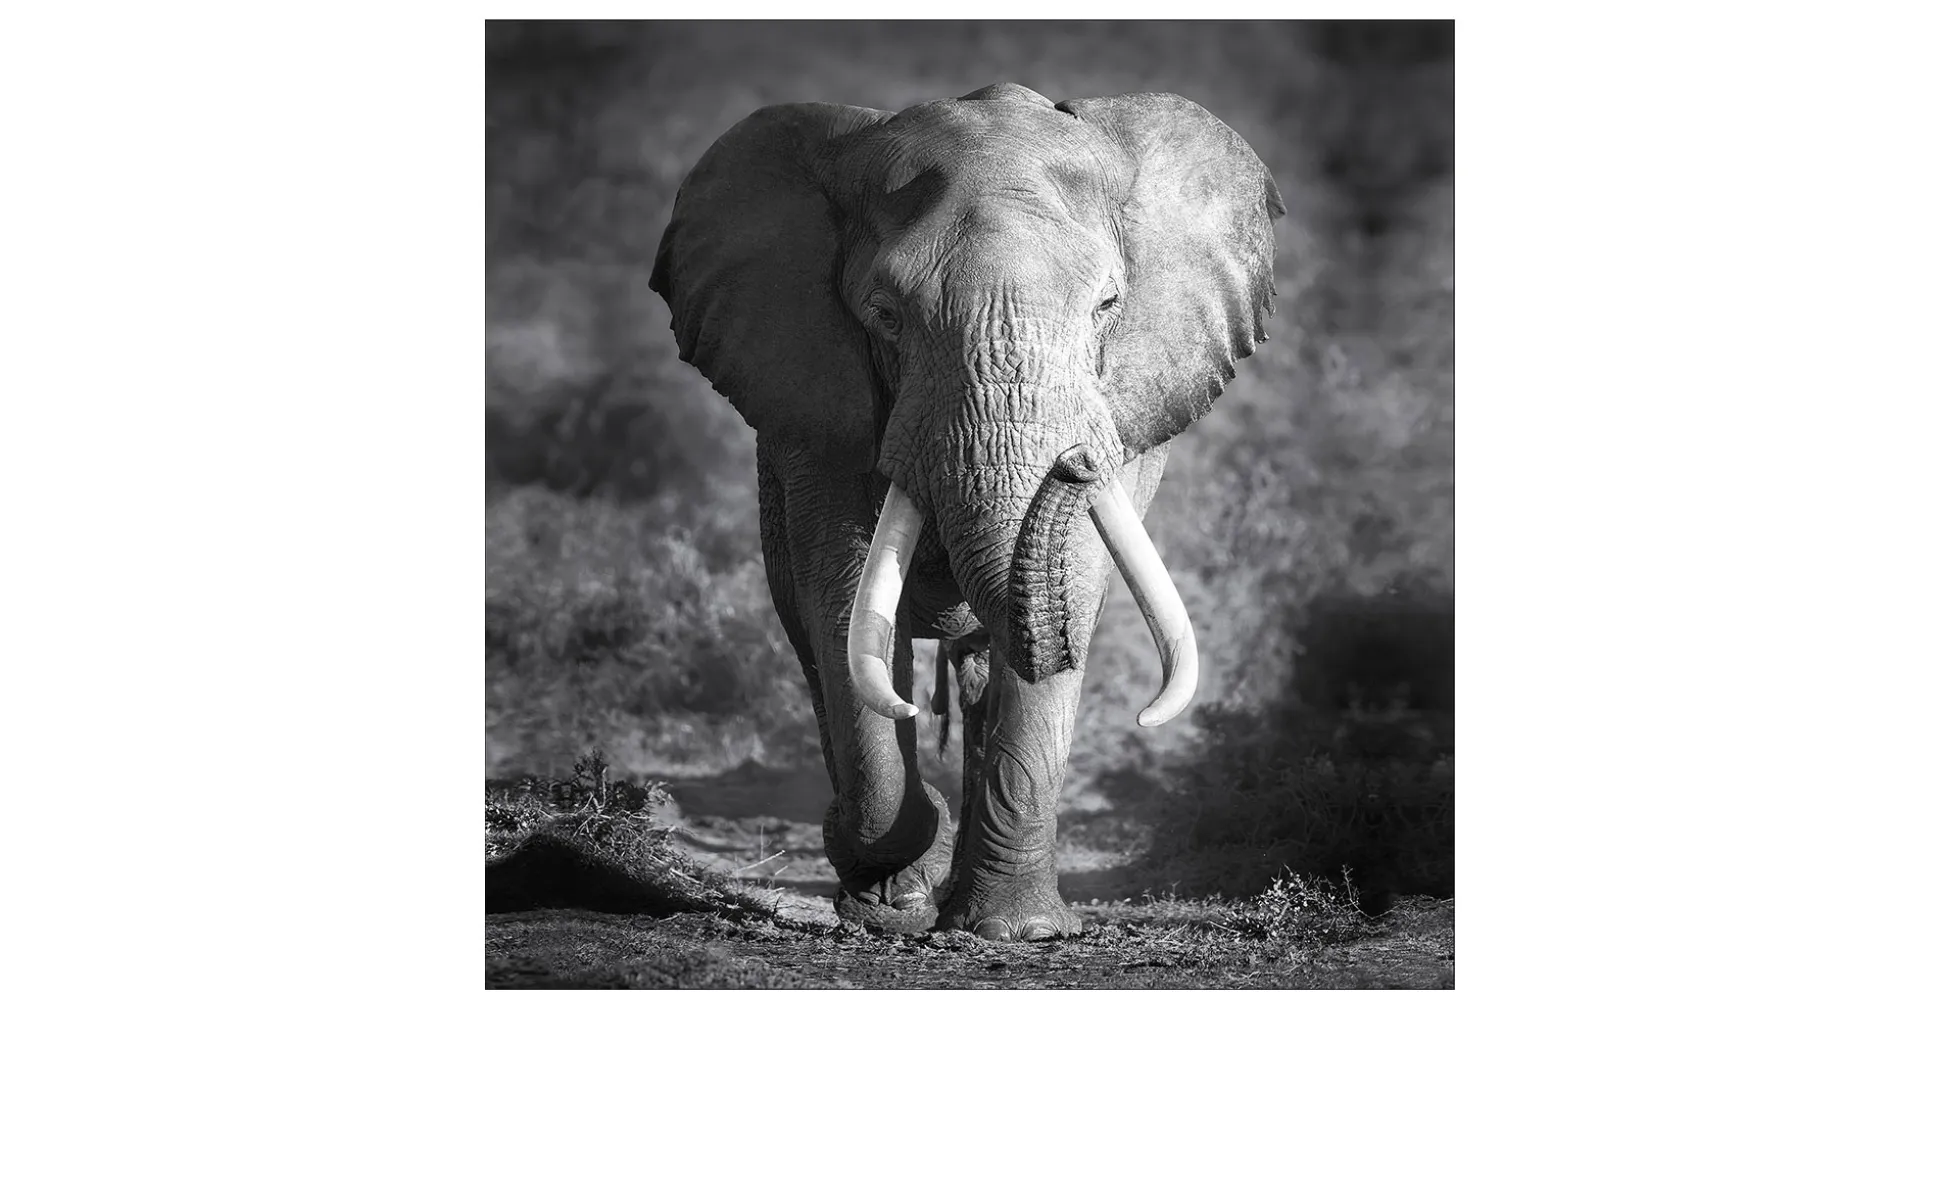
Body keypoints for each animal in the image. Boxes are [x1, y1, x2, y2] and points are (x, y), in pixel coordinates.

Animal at [650, 82, 1282, 941]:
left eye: (1108, 305)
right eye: (885, 315)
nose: (1077, 462)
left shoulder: (1134, 400)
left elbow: (1075, 587)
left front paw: (1017, 932)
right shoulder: (814, 409)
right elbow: (842, 597)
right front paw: (889, 897)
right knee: (818, 640)